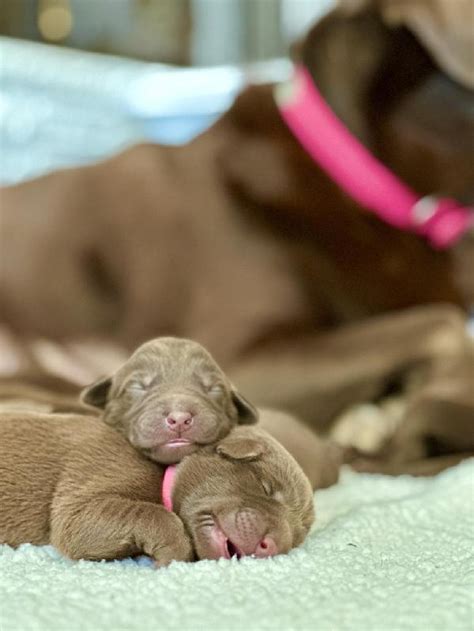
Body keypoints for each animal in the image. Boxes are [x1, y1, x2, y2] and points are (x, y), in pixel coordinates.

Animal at [0, 412, 318, 564]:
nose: (270, 546)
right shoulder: (84, 495)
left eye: (299, 536)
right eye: (265, 487)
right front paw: (170, 558)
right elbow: (157, 516)